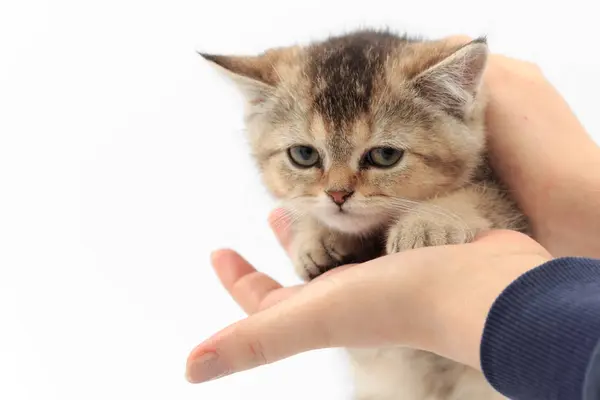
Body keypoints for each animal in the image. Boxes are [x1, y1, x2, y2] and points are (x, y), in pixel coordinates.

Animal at [200, 30, 524, 400]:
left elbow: (479, 196)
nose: (338, 194)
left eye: (385, 155)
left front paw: (428, 224)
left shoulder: (508, 201)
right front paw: (314, 240)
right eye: (304, 155)